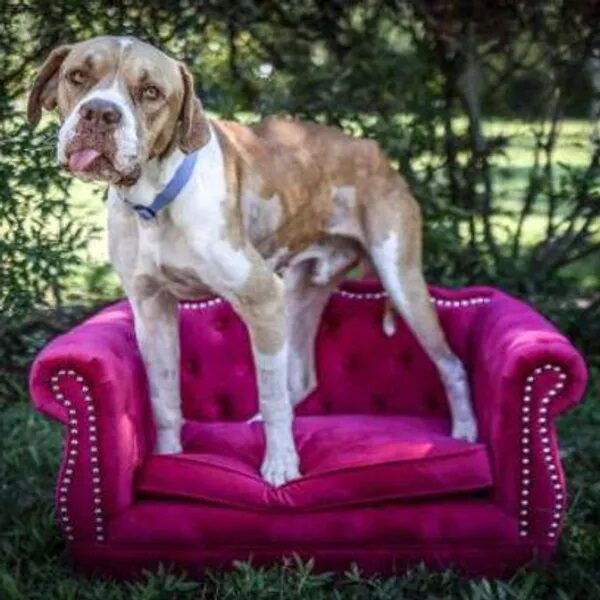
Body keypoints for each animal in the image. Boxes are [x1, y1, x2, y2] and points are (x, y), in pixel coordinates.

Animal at [27, 35, 478, 488]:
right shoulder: (151, 310)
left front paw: (281, 466)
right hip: (300, 291)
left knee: (450, 363)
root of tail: (374, 150)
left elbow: (270, 392)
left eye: (151, 92)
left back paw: (465, 430)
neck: (155, 202)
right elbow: (164, 396)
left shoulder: (261, 298)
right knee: (300, 376)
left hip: (398, 279)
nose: (100, 113)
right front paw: (168, 456)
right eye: (77, 76)